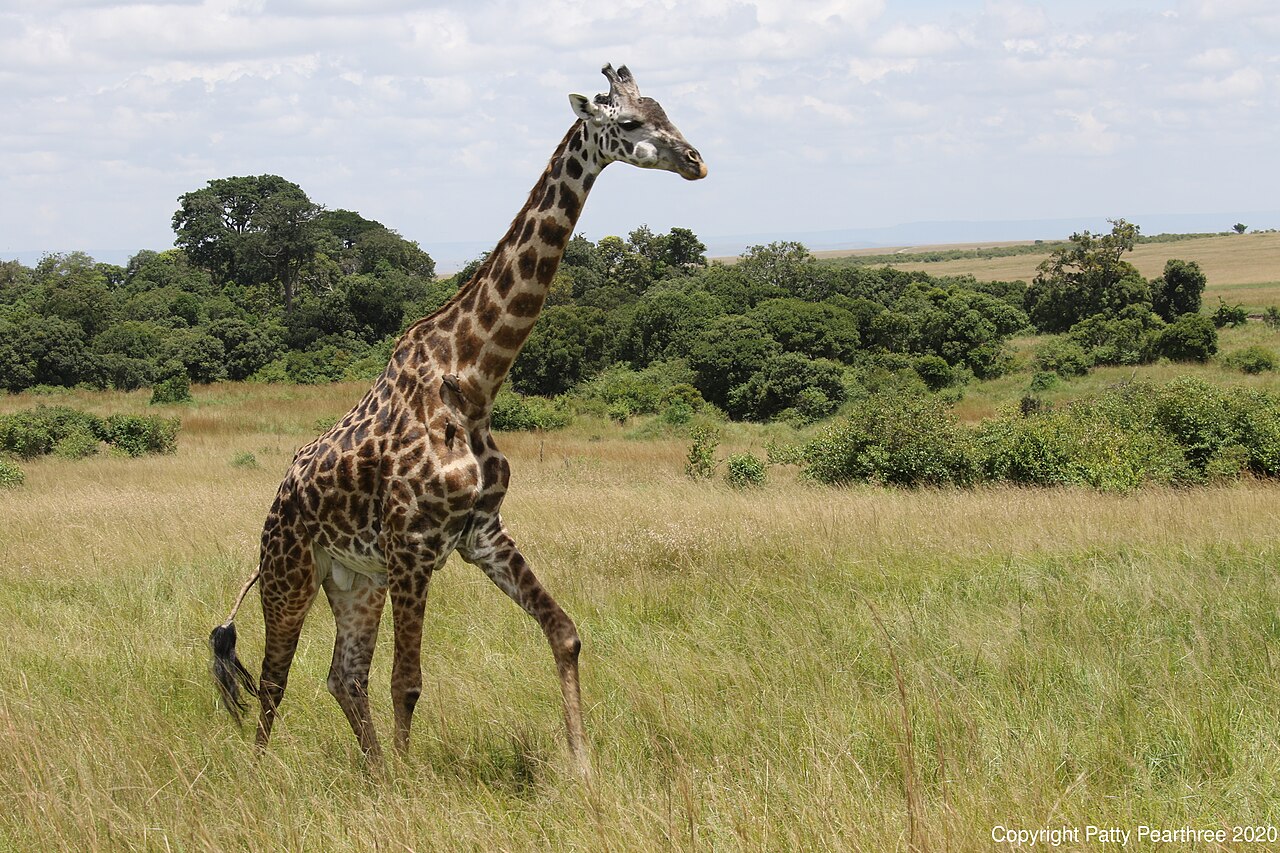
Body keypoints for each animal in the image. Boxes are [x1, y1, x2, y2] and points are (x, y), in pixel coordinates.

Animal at [209, 64, 706, 771]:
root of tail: (276, 504)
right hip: (291, 572)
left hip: (355, 581)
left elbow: (565, 633)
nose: (695, 161)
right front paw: (415, 784)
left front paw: (583, 768)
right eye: (631, 122)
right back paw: (264, 774)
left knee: (342, 675)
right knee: (276, 678)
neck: (474, 379)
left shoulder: (480, 533)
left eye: (667, 110)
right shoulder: (413, 547)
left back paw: (373, 774)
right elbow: (408, 681)